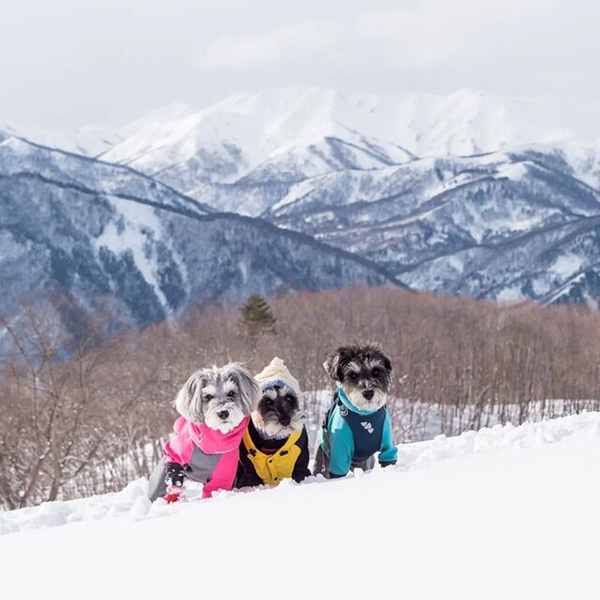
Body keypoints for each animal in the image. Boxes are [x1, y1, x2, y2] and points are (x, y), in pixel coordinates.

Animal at [149, 360, 258, 502]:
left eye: (231, 393)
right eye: (208, 396)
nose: (223, 413)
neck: (216, 437)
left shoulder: (223, 477)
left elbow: (212, 490)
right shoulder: (177, 451)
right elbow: (174, 466)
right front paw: (175, 485)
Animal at [236, 356, 310, 488]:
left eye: (289, 398)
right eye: (268, 402)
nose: (286, 421)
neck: (272, 441)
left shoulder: (301, 465)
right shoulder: (249, 471)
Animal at [314, 342, 398, 478]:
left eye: (375, 372)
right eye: (353, 375)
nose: (368, 393)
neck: (364, 415)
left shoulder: (387, 446)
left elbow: (388, 458)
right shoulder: (340, 454)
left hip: (365, 463)